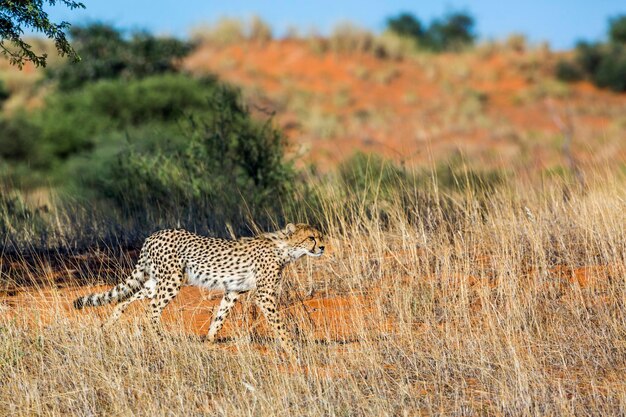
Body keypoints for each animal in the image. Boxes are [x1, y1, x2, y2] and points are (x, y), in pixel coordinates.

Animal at [73, 223, 324, 356]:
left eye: (320, 236)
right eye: (311, 237)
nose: (322, 247)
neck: (285, 247)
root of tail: (153, 235)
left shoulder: (233, 291)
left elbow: (220, 317)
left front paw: (209, 341)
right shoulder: (264, 295)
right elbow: (279, 324)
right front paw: (292, 348)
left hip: (155, 281)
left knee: (125, 299)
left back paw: (107, 326)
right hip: (172, 280)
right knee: (151, 309)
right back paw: (161, 339)